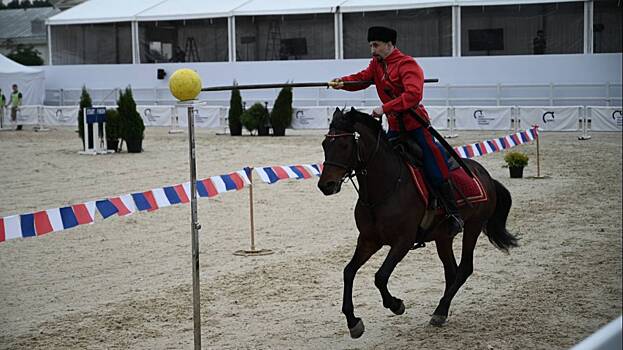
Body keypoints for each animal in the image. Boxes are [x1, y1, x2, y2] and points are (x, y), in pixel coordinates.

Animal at [320, 108, 520, 338]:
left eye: (344, 145)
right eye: (325, 144)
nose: (325, 185)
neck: (386, 187)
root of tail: (485, 175)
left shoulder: (403, 242)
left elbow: (380, 276)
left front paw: (396, 304)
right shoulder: (369, 240)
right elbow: (348, 272)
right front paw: (353, 322)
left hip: (473, 226)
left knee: (464, 268)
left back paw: (440, 311)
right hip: (443, 237)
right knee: (451, 271)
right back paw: (442, 310)